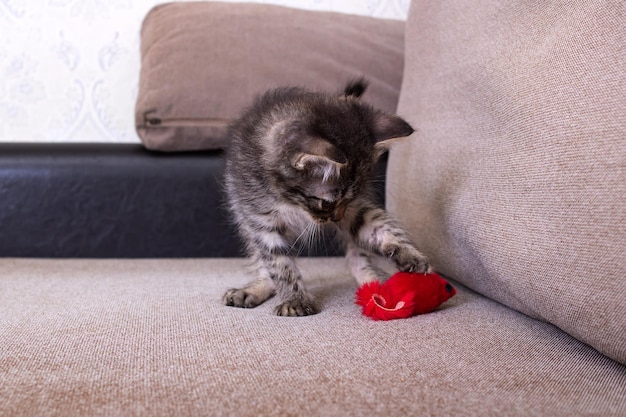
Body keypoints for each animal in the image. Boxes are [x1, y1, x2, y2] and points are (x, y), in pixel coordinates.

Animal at [222, 79, 432, 316]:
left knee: (356, 255)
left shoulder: (355, 210)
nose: (336, 218)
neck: (290, 202)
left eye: (349, 198)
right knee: (262, 260)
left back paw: (373, 281)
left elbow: (379, 226)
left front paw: (409, 254)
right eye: (326, 202)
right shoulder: (260, 220)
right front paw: (295, 299)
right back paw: (253, 289)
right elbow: (278, 263)